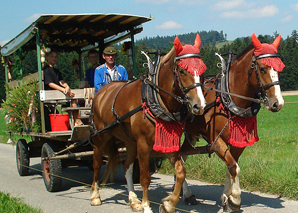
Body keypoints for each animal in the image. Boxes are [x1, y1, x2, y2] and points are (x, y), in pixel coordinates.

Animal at [90, 34, 207, 212]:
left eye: (202, 71)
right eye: (181, 71)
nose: (199, 106)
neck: (155, 99)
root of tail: (102, 91)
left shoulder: (169, 142)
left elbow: (181, 172)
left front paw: (169, 203)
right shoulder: (144, 144)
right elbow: (145, 177)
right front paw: (146, 206)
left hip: (130, 141)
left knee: (127, 167)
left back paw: (133, 199)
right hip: (101, 136)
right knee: (96, 163)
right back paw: (95, 196)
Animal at [180, 33, 286, 211]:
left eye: (279, 69)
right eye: (262, 69)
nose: (278, 103)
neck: (228, 97)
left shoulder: (238, 141)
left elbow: (231, 167)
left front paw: (226, 198)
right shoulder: (216, 141)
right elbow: (234, 167)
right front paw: (235, 198)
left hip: (192, 135)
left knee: (181, 155)